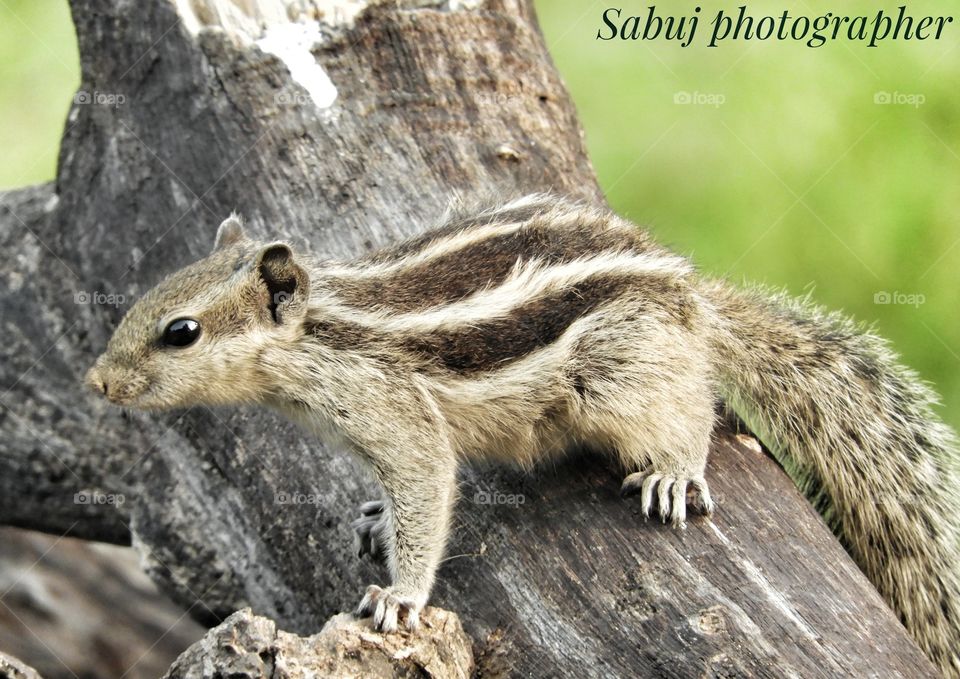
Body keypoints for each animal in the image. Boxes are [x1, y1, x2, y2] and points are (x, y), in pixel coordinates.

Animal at [87, 194, 960, 676]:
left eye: (181, 331)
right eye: (146, 297)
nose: (96, 382)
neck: (319, 331)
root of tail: (690, 293)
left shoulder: (394, 411)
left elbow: (427, 481)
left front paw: (401, 595)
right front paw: (374, 518)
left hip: (623, 369)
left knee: (693, 404)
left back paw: (675, 469)